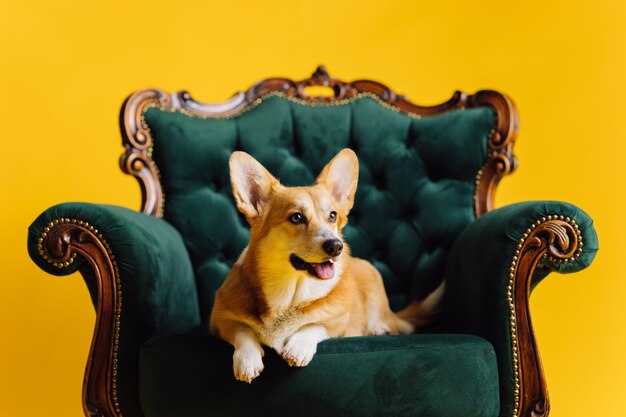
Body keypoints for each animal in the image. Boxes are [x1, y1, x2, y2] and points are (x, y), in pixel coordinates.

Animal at [211, 148, 444, 382]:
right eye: (296, 217)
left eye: (332, 215)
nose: (336, 246)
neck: (290, 294)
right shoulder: (219, 319)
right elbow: (243, 332)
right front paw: (247, 360)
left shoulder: (339, 323)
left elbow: (316, 325)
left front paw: (298, 347)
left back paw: (380, 328)